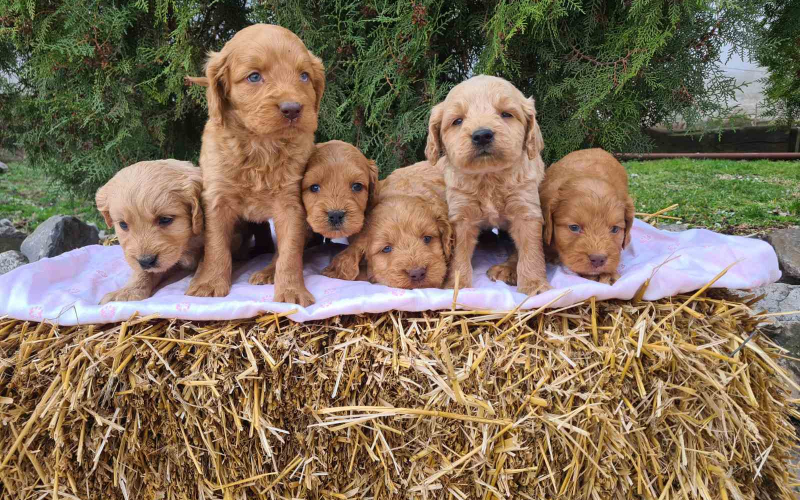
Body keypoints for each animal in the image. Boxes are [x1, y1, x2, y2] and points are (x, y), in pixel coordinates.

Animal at [95, 160, 205, 304]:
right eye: (123, 224)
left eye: (165, 219)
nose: (146, 261)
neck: (187, 243)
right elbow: (143, 272)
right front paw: (128, 291)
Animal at [184, 24, 324, 304]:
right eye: (254, 77)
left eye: (304, 76)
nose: (292, 109)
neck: (261, 146)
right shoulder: (216, 199)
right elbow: (216, 245)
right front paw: (209, 282)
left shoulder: (291, 204)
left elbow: (290, 252)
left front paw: (291, 290)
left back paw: (268, 272)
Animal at [428, 75, 552, 294]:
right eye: (457, 121)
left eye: (506, 114)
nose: (482, 135)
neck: (488, 176)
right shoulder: (461, 215)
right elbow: (458, 255)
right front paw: (456, 285)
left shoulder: (526, 210)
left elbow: (530, 250)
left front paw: (534, 285)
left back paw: (507, 269)